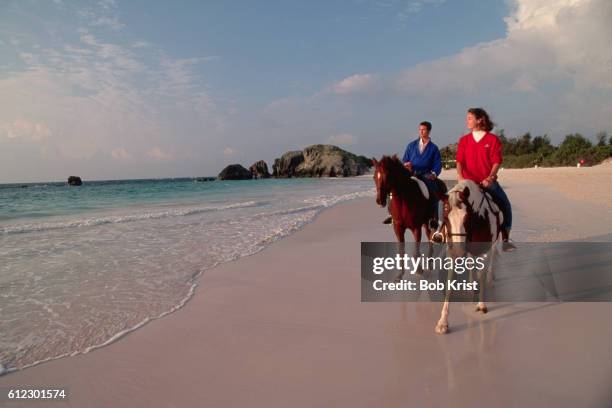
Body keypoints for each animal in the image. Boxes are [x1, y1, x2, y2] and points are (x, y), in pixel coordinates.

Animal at [436, 180, 502, 334]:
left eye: (467, 218)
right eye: (445, 218)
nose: (458, 251)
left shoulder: (485, 250)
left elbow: (482, 275)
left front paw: (481, 304)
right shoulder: (452, 253)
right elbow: (449, 284)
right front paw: (443, 322)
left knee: (491, 258)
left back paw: (490, 276)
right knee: (472, 262)